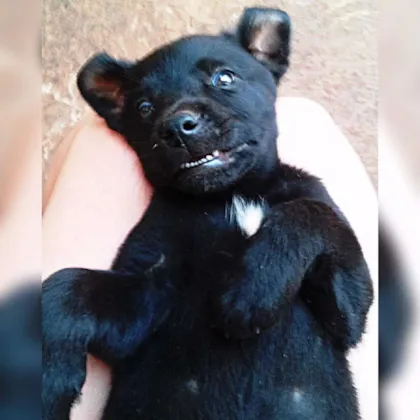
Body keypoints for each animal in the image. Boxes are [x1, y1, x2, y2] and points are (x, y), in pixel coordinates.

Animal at [42, 8, 373, 419]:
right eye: (144, 108)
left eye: (224, 78)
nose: (176, 128)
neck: (231, 194)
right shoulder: (146, 299)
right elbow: (63, 288)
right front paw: (50, 381)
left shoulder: (349, 314)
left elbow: (313, 214)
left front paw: (254, 290)